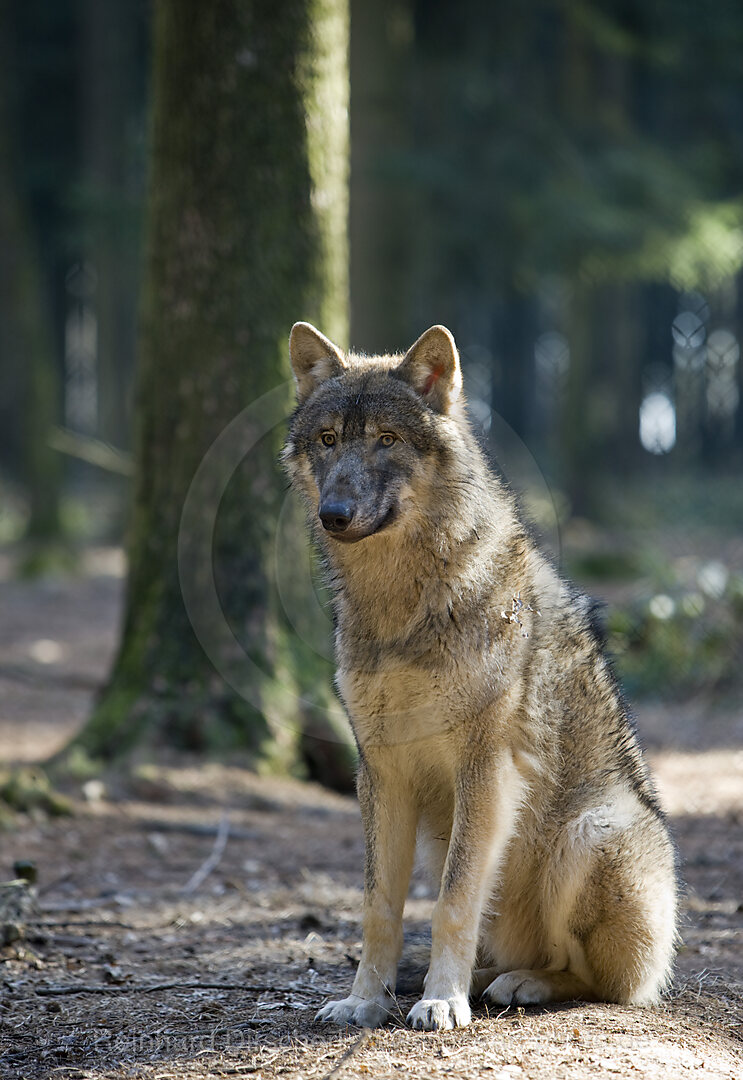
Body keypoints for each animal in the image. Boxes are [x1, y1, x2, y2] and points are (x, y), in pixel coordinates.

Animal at [282, 319, 678, 1028]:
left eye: (386, 440)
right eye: (328, 440)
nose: (333, 513)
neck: (402, 607)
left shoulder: (486, 767)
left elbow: (452, 900)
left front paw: (441, 1001)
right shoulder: (381, 769)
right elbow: (380, 908)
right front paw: (365, 1001)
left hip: (589, 832)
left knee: (598, 980)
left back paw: (520, 985)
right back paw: (484, 978)